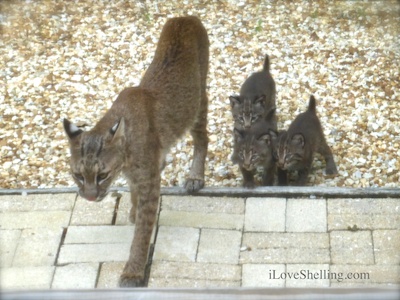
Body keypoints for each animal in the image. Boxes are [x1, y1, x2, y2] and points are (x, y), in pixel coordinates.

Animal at [62, 17, 209, 288]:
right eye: (78, 175)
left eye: (102, 175)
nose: (89, 198)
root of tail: (184, 17)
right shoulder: (136, 174)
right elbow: (134, 194)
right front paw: (132, 209)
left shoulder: (149, 182)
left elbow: (142, 232)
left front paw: (132, 272)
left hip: (197, 102)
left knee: (203, 137)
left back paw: (196, 177)